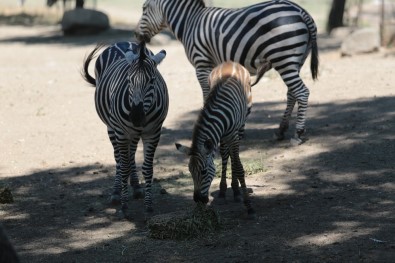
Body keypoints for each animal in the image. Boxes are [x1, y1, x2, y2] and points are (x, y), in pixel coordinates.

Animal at [82, 41, 169, 219]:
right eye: (129, 80)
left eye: (152, 80)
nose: (136, 116)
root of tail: (121, 42)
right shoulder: (121, 133)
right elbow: (123, 166)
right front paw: (124, 206)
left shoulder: (153, 133)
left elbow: (147, 168)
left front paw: (148, 207)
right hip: (112, 128)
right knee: (119, 158)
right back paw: (117, 193)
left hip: (133, 133)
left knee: (131, 154)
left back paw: (135, 187)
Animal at [135, 0, 318, 144]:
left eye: (144, 8)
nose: (136, 36)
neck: (190, 23)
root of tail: (301, 11)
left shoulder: (201, 64)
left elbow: (206, 94)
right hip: (295, 61)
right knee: (292, 93)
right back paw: (280, 130)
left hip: (284, 58)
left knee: (302, 92)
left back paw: (298, 133)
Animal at [176, 62, 256, 219]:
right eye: (190, 171)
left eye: (204, 172)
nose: (198, 200)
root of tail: (230, 62)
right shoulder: (222, 135)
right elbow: (227, 156)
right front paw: (227, 191)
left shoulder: (233, 135)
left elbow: (239, 166)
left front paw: (249, 206)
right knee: (226, 154)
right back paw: (226, 190)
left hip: (241, 125)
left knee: (233, 155)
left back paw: (236, 190)